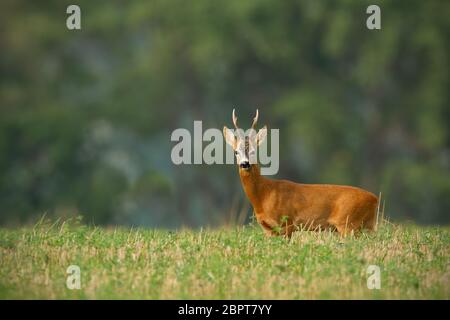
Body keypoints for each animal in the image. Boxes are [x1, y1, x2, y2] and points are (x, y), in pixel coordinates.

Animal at [223, 110, 378, 238]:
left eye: (254, 151)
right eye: (236, 152)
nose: (245, 164)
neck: (263, 196)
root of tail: (375, 199)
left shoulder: (287, 222)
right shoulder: (268, 228)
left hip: (348, 223)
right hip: (364, 225)